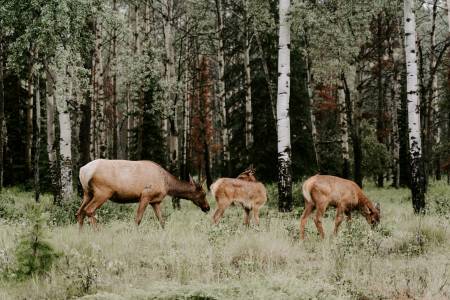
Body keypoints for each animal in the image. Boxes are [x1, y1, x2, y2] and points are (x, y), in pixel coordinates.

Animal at [76, 161, 210, 229]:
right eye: (203, 194)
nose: (207, 207)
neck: (166, 184)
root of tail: (83, 171)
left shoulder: (155, 201)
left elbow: (162, 221)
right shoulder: (146, 195)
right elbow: (138, 219)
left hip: (87, 193)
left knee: (79, 212)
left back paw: (81, 234)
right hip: (103, 192)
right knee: (89, 210)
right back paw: (96, 231)